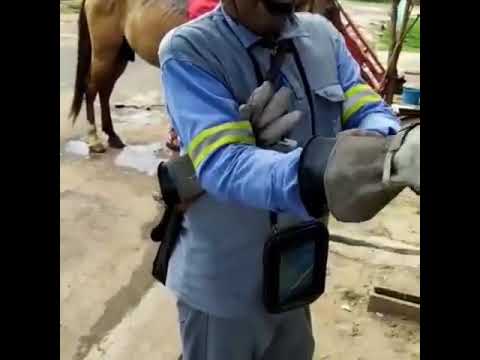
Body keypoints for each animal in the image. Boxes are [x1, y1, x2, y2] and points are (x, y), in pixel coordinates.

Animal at [69, 0, 328, 152]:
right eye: (328, 10)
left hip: (119, 54)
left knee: (104, 90)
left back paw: (112, 136)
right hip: (105, 52)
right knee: (91, 89)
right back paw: (94, 139)